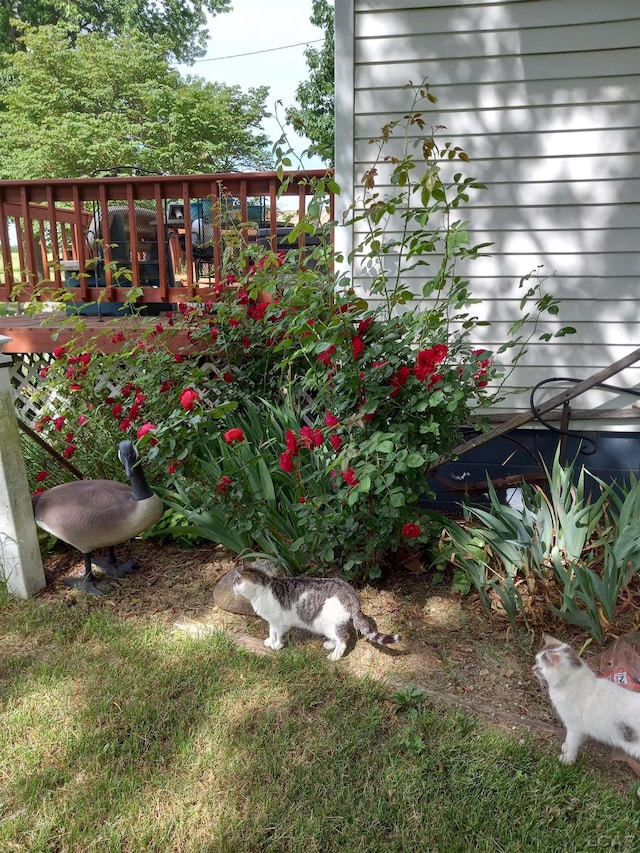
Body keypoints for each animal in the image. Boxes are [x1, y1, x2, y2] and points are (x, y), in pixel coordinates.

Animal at [230, 568, 400, 664]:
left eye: (235, 581)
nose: (232, 587)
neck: (262, 591)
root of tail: (350, 590)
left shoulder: (279, 622)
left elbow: (279, 635)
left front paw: (277, 645)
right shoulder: (272, 621)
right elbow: (271, 632)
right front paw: (270, 641)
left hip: (328, 623)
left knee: (344, 638)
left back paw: (334, 656)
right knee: (340, 637)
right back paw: (330, 645)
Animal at [532, 632, 640, 764]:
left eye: (540, 668)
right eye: (536, 661)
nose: (532, 669)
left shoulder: (575, 727)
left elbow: (572, 743)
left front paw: (568, 759)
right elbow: (571, 740)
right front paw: (566, 747)